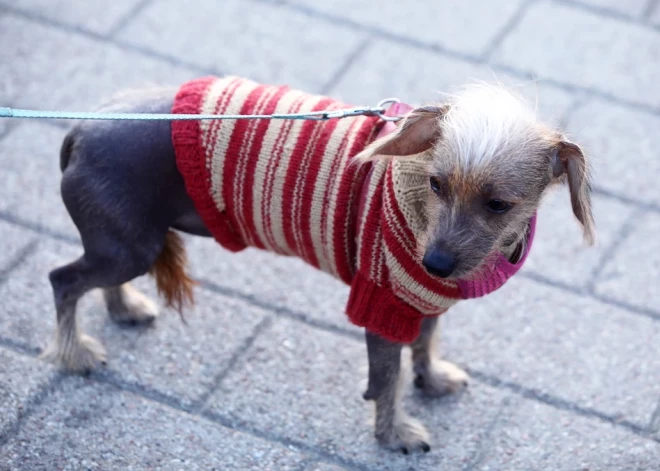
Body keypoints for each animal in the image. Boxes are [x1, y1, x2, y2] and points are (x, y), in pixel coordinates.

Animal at [42, 76, 600, 454]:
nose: (436, 263)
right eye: (438, 185)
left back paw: (124, 309)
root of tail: (80, 130)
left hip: (126, 245)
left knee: (93, 282)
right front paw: (394, 434)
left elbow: (424, 345)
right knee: (63, 281)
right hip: (126, 248)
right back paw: (75, 352)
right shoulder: (381, 306)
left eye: (498, 205)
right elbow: (387, 380)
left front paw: (432, 379)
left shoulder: (423, 301)